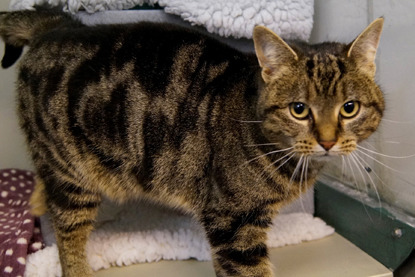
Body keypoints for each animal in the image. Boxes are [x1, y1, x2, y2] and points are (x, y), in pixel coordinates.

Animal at [0, 9, 386, 276]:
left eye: (349, 108)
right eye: (299, 109)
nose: (328, 141)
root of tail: (57, 26)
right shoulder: (234, 222)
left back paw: (37, 199)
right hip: (70, 175)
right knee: (68, 237)